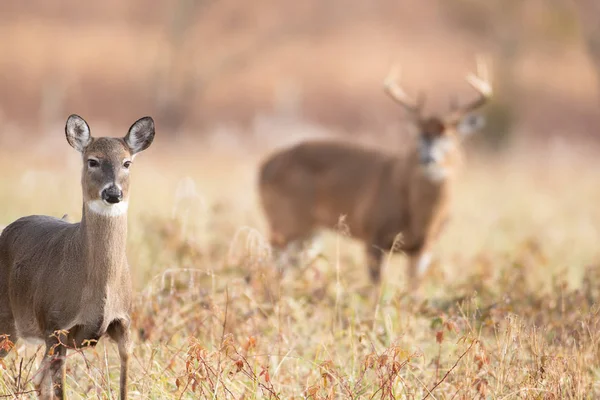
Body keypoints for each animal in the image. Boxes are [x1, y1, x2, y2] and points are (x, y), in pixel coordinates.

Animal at [0, 114, 155, 398]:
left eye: (127, 162)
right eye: (92, 160)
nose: (113, 193)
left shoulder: (124, 323)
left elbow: (124, 386)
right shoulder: (56, 326)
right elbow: (60, 389)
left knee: (38, 380)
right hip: (6, 319)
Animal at [258, 57, 492, 288]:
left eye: (450, 137)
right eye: (418, 137)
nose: (428, 159)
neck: (420, 219)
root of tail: (264, 168)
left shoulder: (424, 248)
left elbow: (414, 288)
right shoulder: (373, 234)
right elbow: (376, 287)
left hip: (310, 231)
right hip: (283, 221)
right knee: (274, 266)